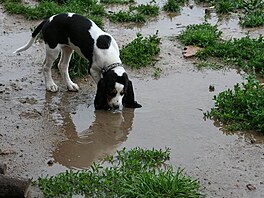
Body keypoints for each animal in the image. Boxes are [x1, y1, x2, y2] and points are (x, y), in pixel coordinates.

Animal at [13, 13, 142, 110]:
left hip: (68, 48)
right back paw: (50, 85)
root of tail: (48, 19)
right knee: (46, 66)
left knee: (62, 66)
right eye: (111, 92)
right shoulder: (93, 70)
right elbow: (98, 82)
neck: (109, 54)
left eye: (123, 93)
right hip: (53, 48)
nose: (116, 106)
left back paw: (70, 85)